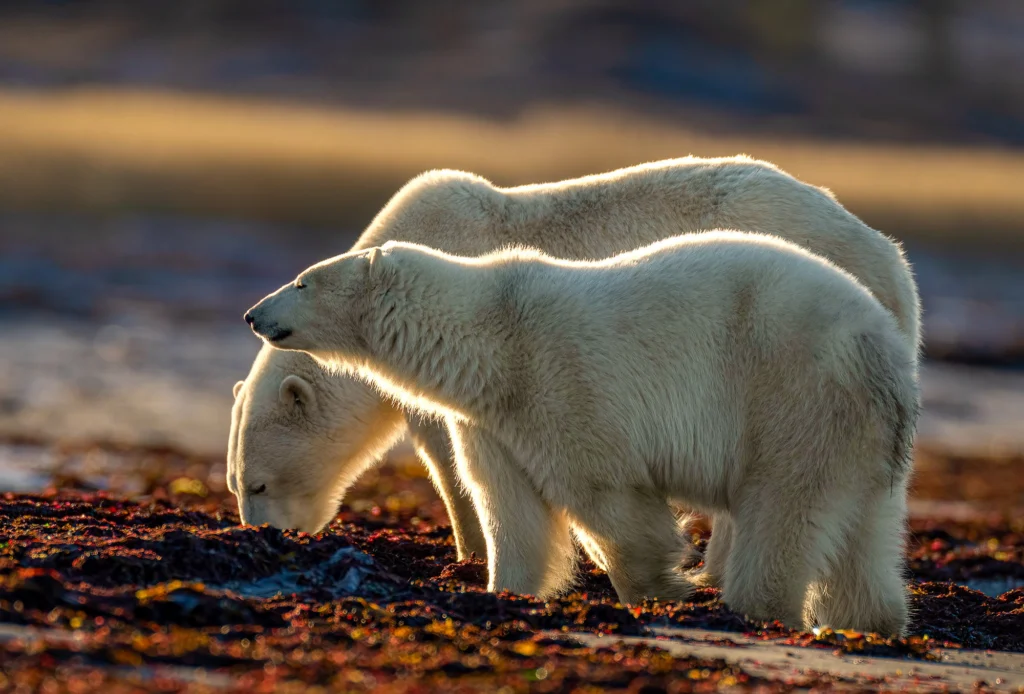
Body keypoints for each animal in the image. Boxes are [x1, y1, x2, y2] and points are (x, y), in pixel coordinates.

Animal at [227, 156, 921, 581]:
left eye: (258, 485)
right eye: (235, 485)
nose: (264, 538)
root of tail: (891, 260)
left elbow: (451, 458)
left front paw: (469, 550)